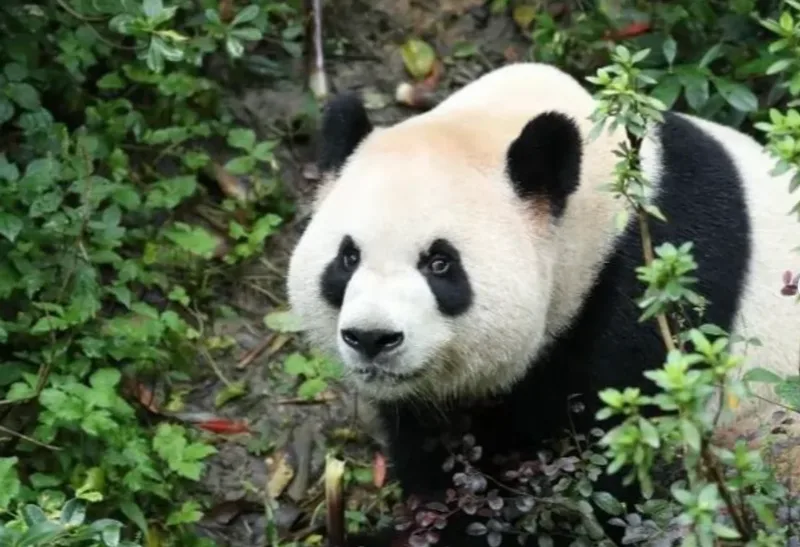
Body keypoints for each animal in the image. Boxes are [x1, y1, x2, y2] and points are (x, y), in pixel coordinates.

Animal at [286, 62, 800, 546]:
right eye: (348, 258)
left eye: (440, 263)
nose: (371, 338)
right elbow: (439, 452)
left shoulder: (651, 293)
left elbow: (606, 472)